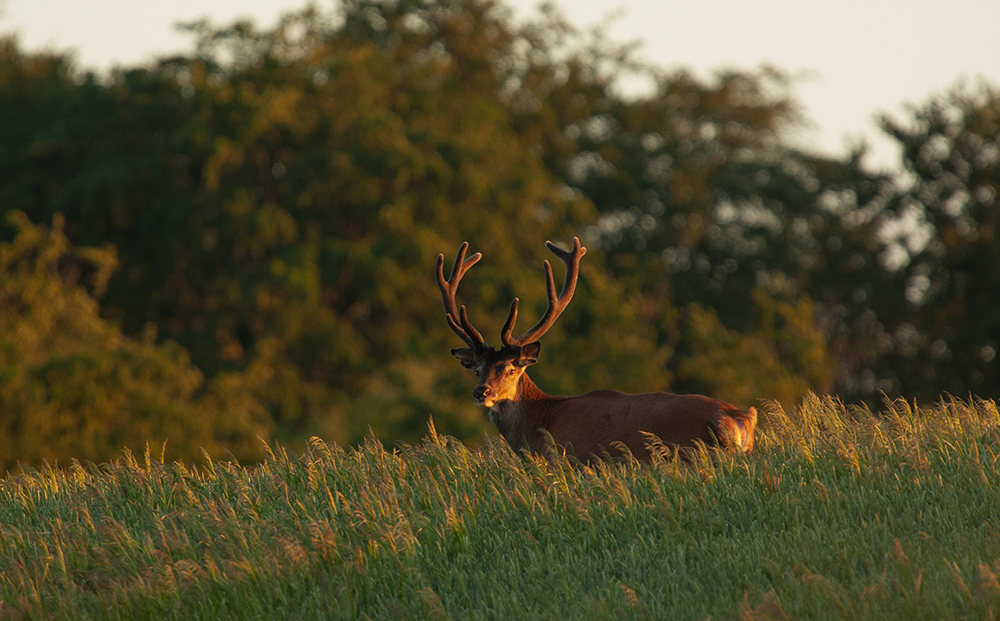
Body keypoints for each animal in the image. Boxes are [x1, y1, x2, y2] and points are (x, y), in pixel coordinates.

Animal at [435, 237, 757, 464]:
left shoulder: (570, 461)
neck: (538, 429)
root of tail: (740, 416)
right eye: (478, 370)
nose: (482, 392)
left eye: (511, 369)